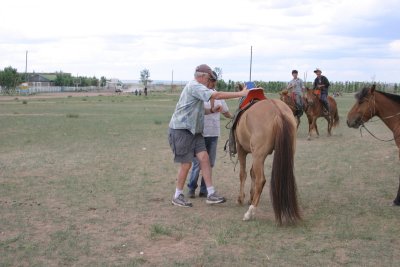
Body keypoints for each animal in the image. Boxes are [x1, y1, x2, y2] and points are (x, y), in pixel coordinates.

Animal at [234, 97, 300, 225]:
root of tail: (278, 111)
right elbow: (252, 173)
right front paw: (251, 196)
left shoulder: (241, 149)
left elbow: (243, 174)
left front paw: (241, 198)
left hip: (258, 155)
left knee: (261, 180)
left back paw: (250, 212)